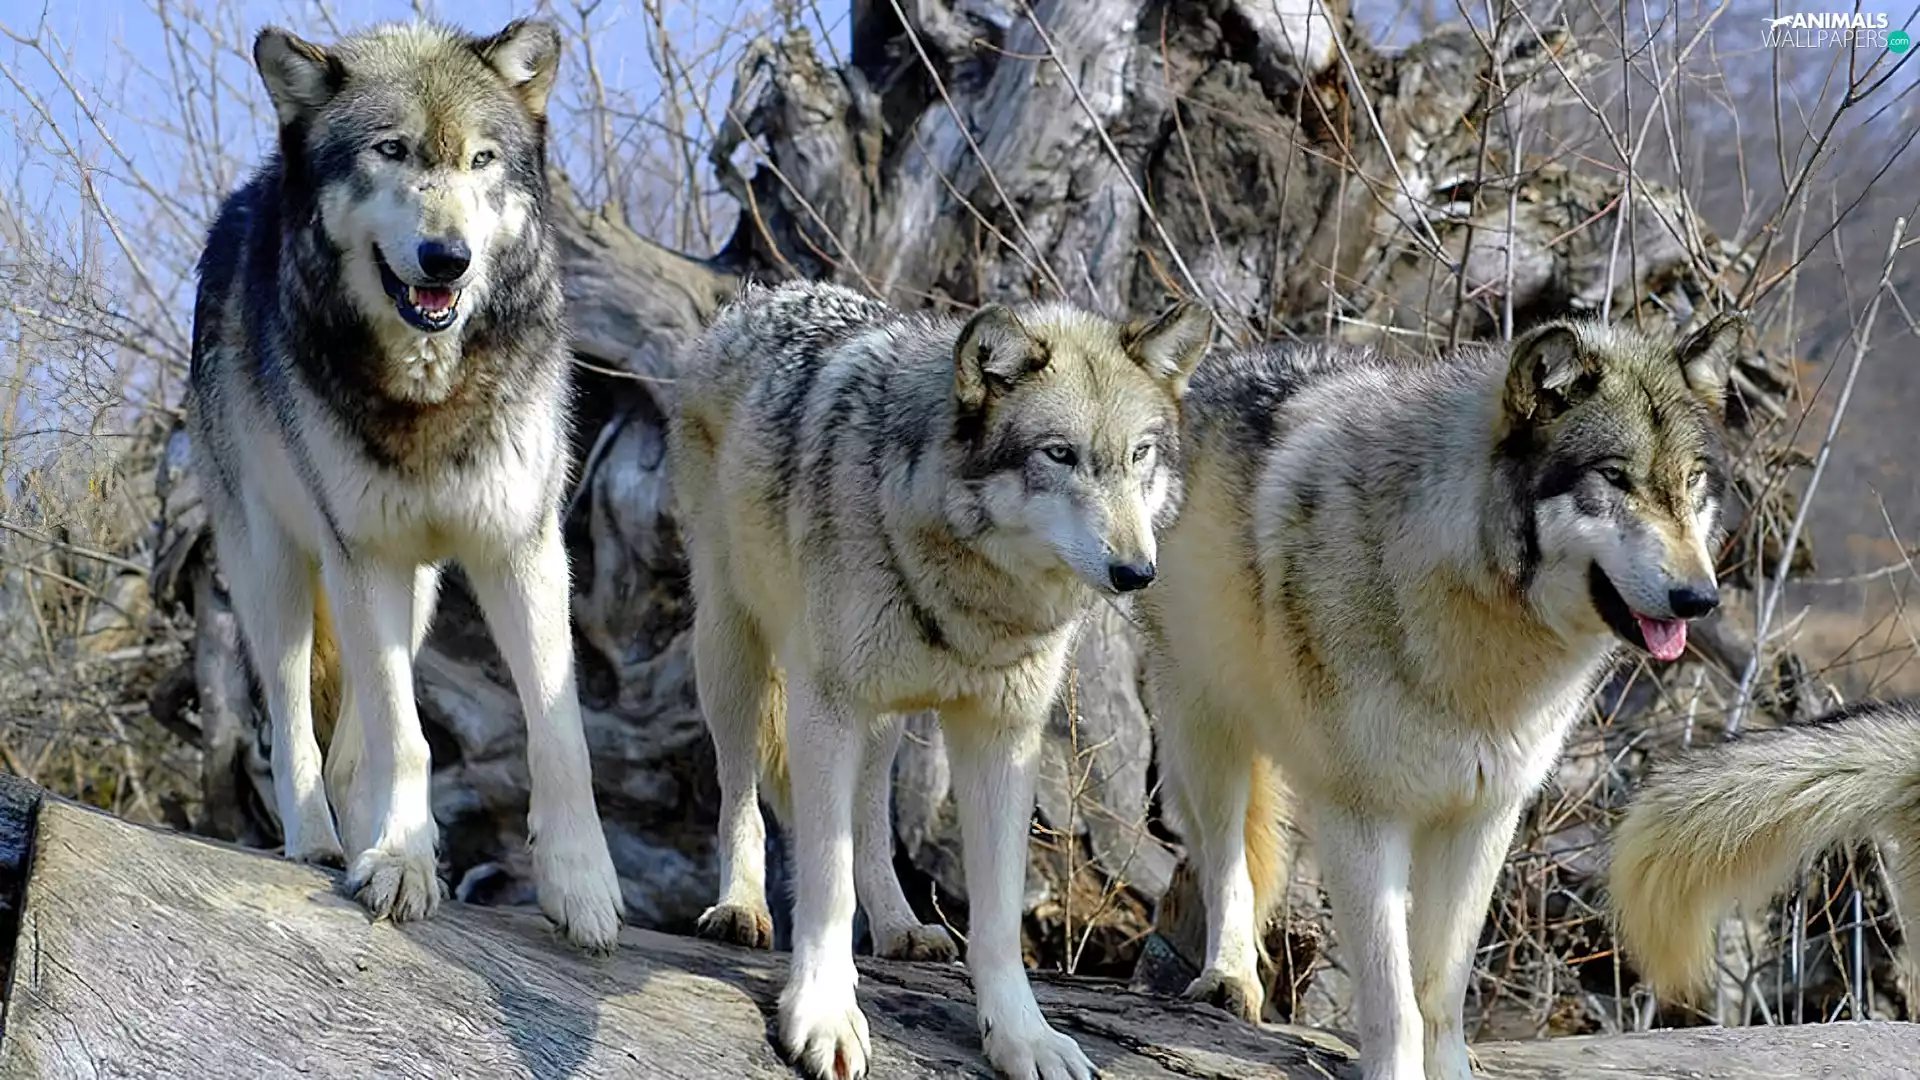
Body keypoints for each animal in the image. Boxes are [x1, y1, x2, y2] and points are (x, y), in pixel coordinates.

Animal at [185, 19, 624, 950]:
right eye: (390, 151)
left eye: (482, 160)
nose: (446, 259)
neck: (432, 396)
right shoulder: (365, 556)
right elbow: (407, 736)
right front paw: (399, 863)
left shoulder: (522, 551)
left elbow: (558, 733)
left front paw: (580, 887)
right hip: (276, 571)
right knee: (297, 721)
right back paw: (319, 842)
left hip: (413, 593)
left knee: (358, 743)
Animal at [668, 280, 1210, 1080]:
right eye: (1059, 455)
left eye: (1139, 453)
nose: (1135, 572)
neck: (973, 590)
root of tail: (763, 296)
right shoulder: (826, 705)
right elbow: (825, 881)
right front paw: (823, 1014)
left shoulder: (1003, 737)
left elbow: (996, 916)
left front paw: (1022, 1037)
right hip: (733, 650)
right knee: (743, 791)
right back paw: (740, 907)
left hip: (884, 715)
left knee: (866, 817)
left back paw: (901, 926)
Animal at [1134, 314, 1745, 1079]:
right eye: (1614, 478)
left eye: (1692, 481)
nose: (1700, 599)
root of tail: (1209, 372)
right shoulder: (1363, 816)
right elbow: (1392, 994)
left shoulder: (1484, 814)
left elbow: (1439, 987)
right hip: (1206, 731)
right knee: (1225, 861)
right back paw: (1227, 977)